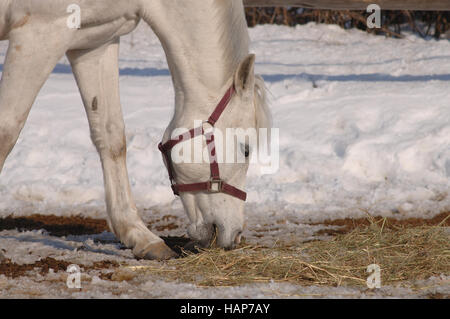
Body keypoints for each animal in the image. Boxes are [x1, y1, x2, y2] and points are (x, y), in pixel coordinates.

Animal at [0, 0, 270, 260]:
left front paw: (139, 235)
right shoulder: (40, 32)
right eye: (246, 150)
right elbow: (6, 132)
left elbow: (111, 135)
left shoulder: (96, 40)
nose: (235, 234)